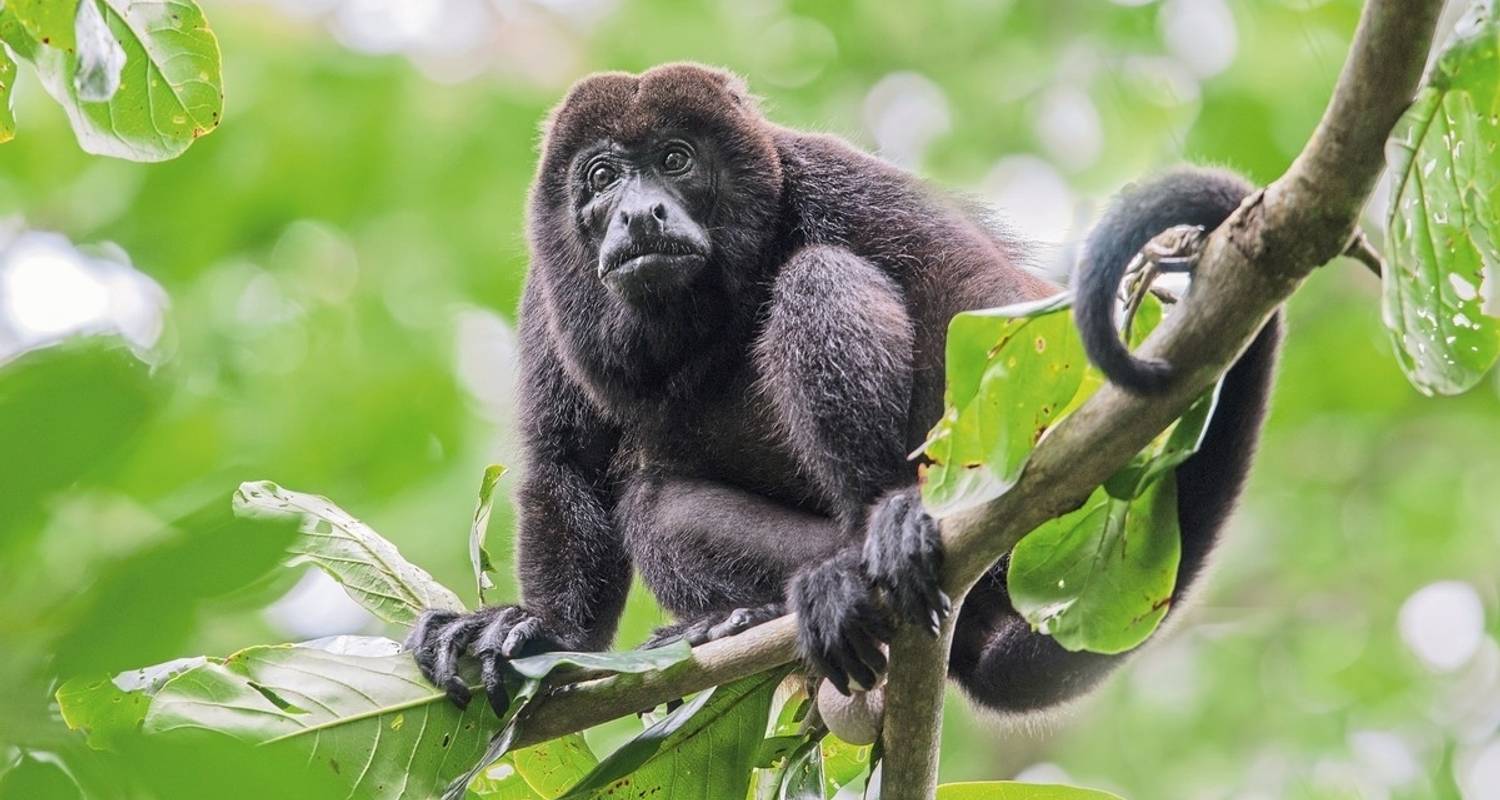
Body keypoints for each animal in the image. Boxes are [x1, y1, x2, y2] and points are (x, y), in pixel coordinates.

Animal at [408, 62, 1278, 711]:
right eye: (602, 176)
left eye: (676, 160)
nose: (639, 213)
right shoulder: (546, 290)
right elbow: (568, 465)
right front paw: (534, 632)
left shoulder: (830, 174)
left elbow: (975, 293)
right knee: (655, 507)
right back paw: (758, 611)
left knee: (820, 278)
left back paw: (880, 531)